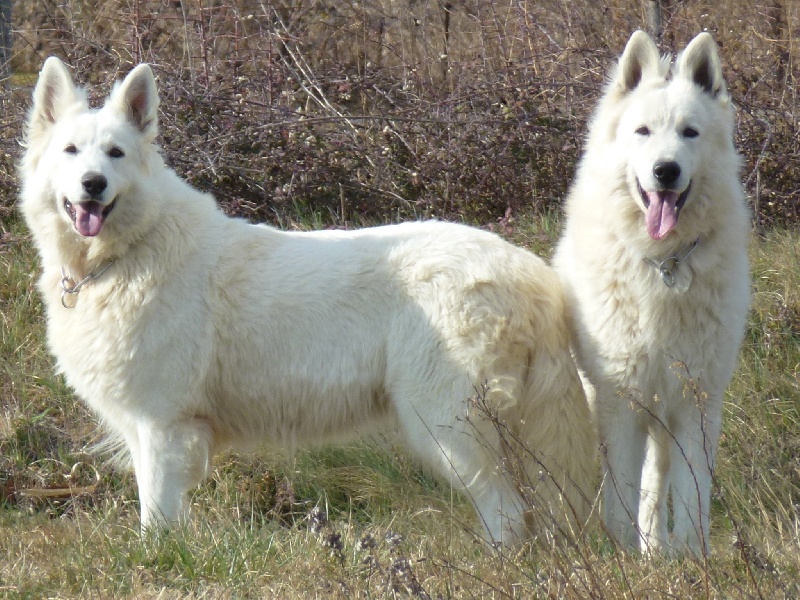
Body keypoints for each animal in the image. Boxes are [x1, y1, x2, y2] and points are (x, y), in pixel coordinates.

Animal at [18, 55, 596, 544]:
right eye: (71, 151)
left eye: (115, 154)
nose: (93, 184)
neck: (127, 253)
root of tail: (529, 270)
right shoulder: (148, 430)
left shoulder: (163, 426)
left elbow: (156, 520)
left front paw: (156, 563)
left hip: (447, 427)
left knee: (507, 513)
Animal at [552, 31, 752, 556]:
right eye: (642, 131)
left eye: (689, 132)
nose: (666, 171)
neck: (664, 266)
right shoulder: (622, 401)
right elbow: (620, 491)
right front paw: (621, 557)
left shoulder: (696, 400)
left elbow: (689, 493)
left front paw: (692, 559)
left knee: (656, 481)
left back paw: (658, 548)